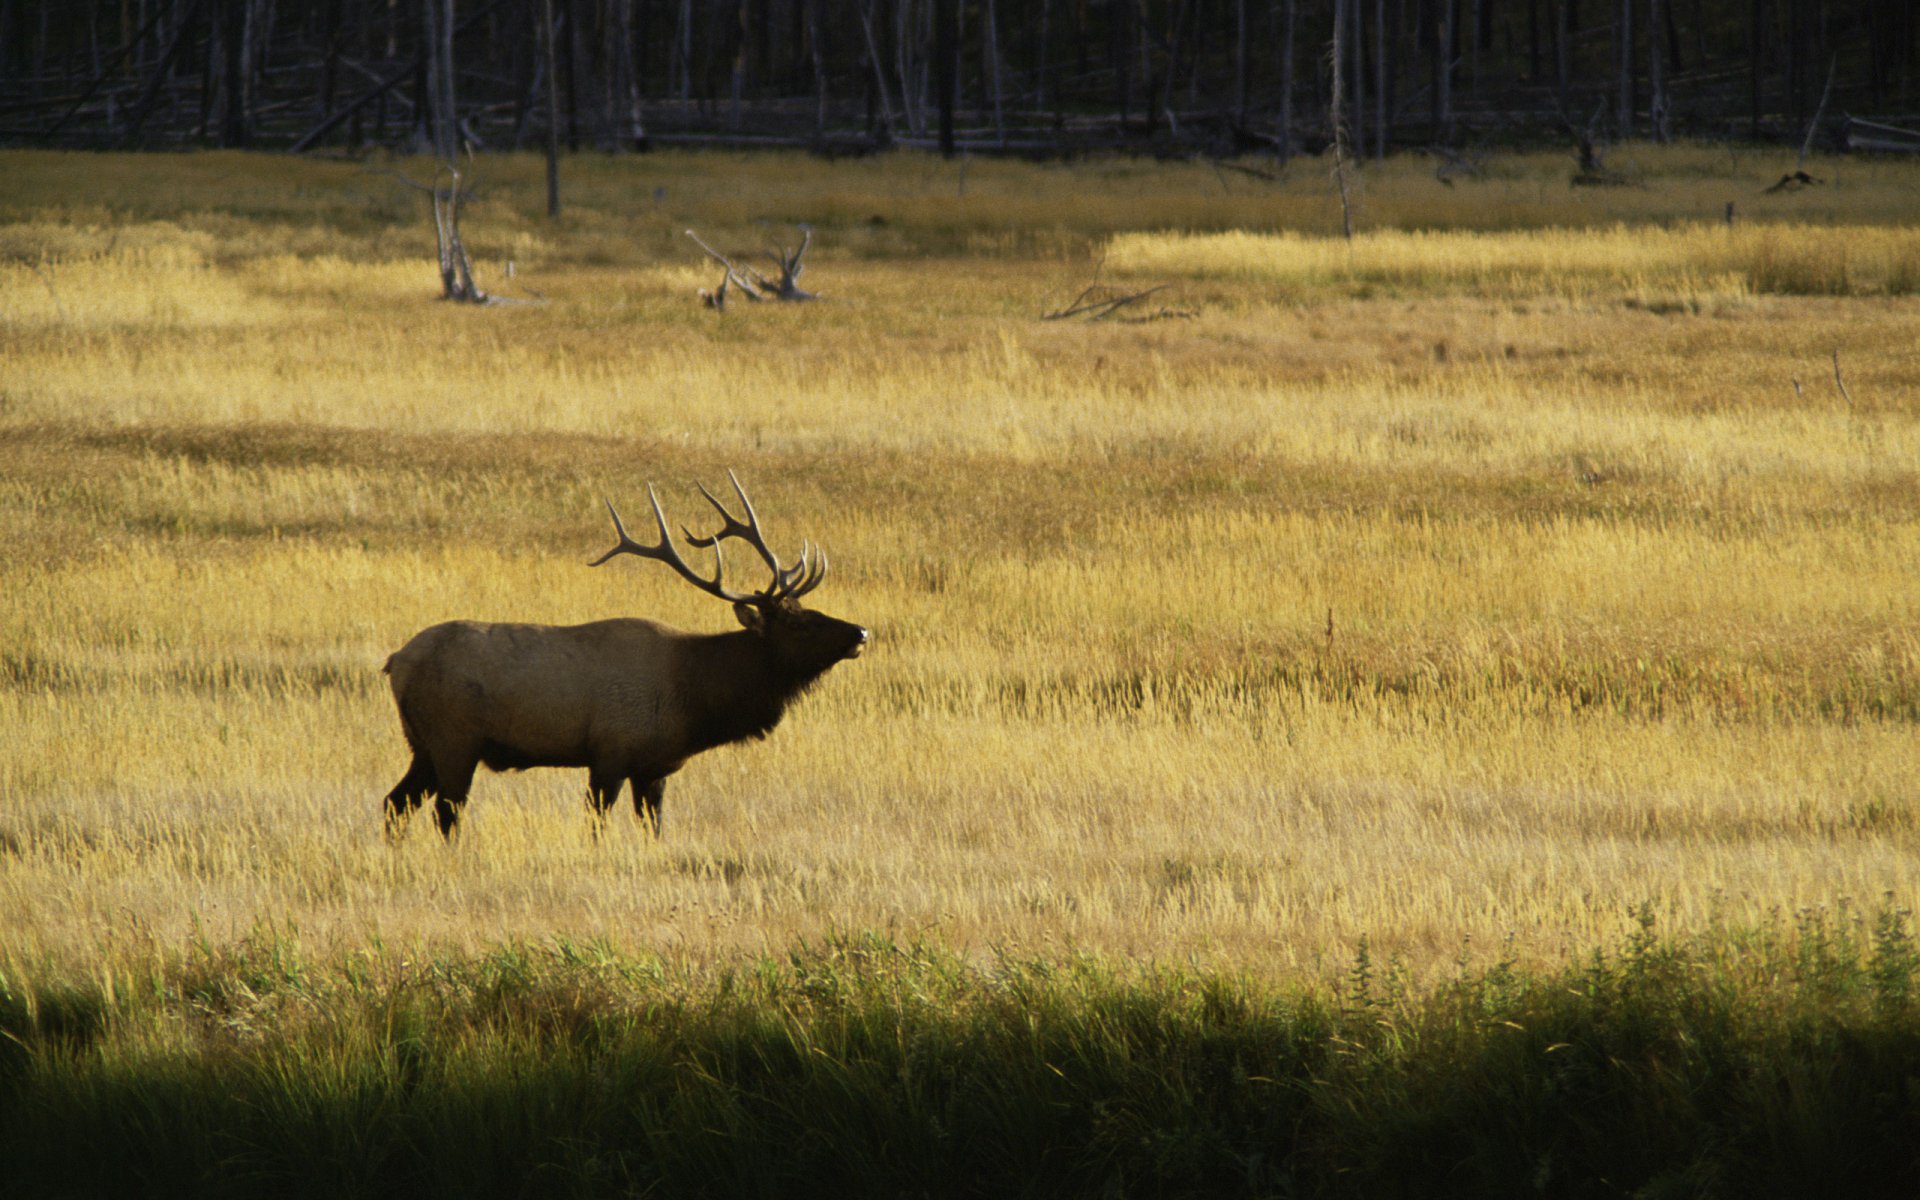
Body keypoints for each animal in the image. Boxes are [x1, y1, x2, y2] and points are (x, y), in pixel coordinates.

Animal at [381, 472, 867, 840]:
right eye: (796, 622)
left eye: (807, 609)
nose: (860, 631)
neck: (694, 699)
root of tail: (395, 662)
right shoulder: (610, 751)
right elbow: (595, 826)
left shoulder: (654, 768)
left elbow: (654, 829)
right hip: (454, 738)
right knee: (446, 812)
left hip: (422, 744)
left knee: (395, 803)